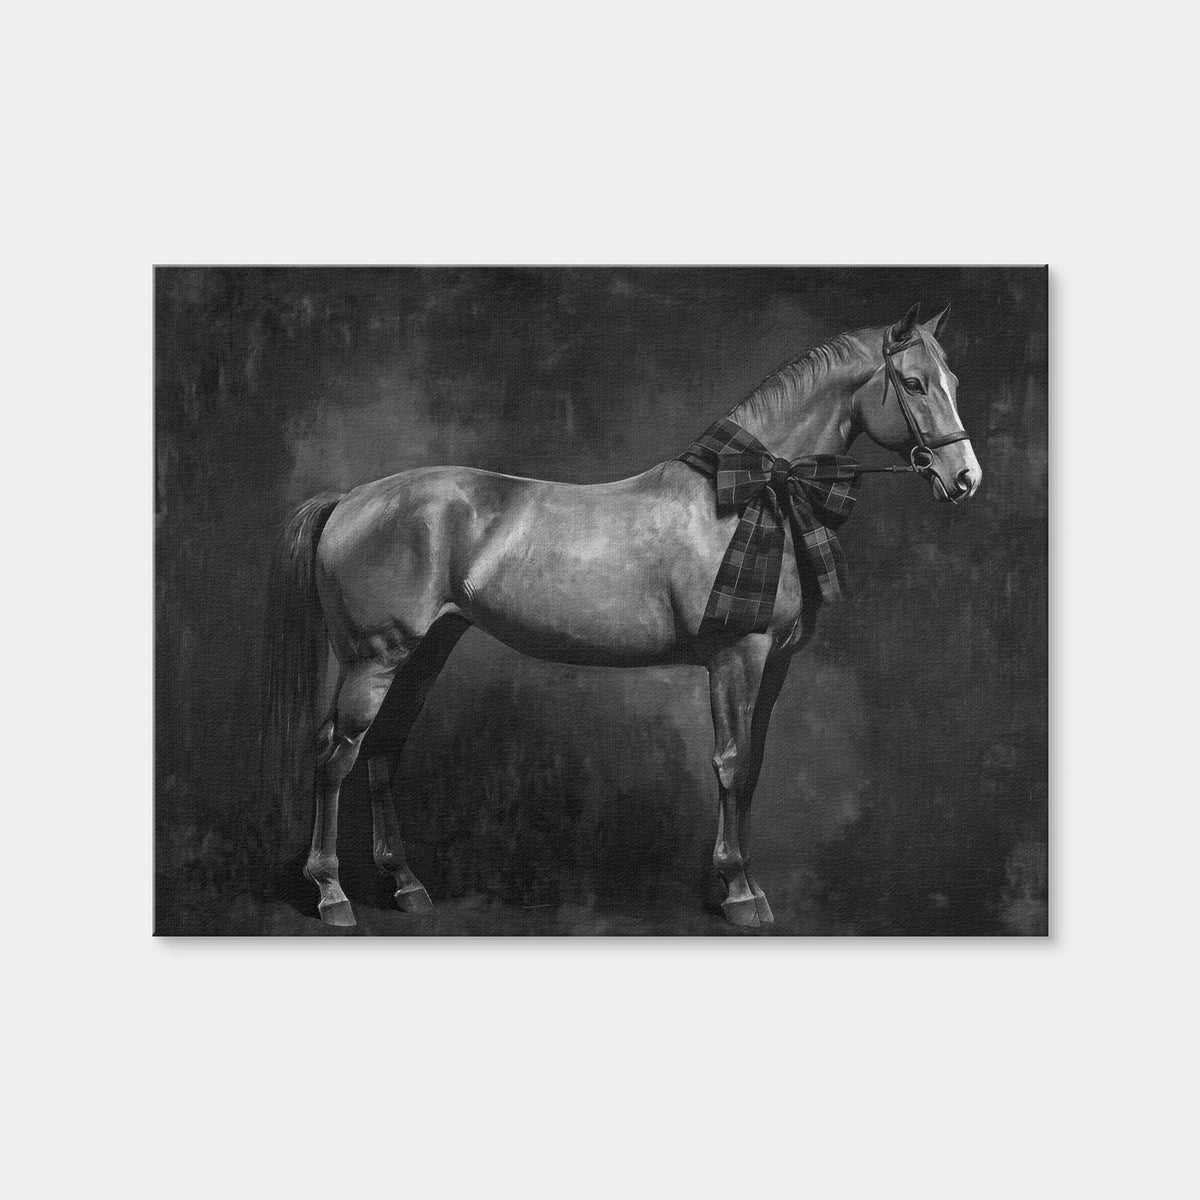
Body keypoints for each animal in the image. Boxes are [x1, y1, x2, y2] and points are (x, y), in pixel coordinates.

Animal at [262, 303, 981, 929]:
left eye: (952, 381)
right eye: (914, 383)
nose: (964, 477)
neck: (755, 490)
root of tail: (350, 498)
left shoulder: (772, 664)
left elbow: (752, 767)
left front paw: (733, 884)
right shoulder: (736, 656)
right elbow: (729, 761)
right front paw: (741, 892)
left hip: (426, 653)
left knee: (383, 751)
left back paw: (405, 886)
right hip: (376, 658)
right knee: (336, 756)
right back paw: (331, 893)